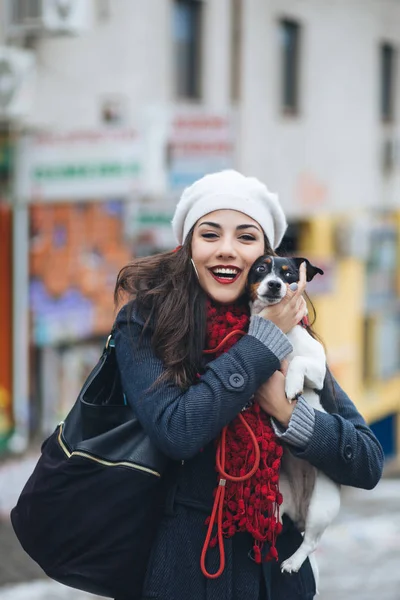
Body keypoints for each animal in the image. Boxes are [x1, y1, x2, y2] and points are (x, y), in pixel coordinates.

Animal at [247, 255, 340, 584]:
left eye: (288, 275)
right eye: (261, 269)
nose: (275, 285)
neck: (282, 332)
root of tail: (298, 512)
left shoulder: (319, 370)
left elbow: (298, 361)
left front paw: (291, 386)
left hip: (322, 505)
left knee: (310, 542)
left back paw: (292, 562)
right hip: (276, 498)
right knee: (270, 525)